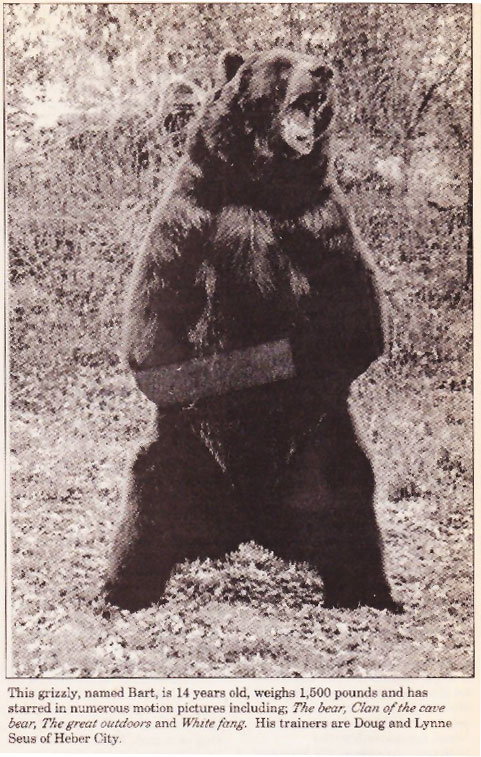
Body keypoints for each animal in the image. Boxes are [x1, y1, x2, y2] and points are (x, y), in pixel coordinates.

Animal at [104, 48, 402, 614]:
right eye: (283, 65)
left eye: (311, 56)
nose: (324, 71)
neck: (260, 184)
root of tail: (249, 520)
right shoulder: (192, 215)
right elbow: (153, 326)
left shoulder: (320, 222)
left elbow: (355, 322)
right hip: (177, 455)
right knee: (145, 507)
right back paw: (122, 590)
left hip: (325, 451)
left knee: (353, 503)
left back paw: (371, 592)